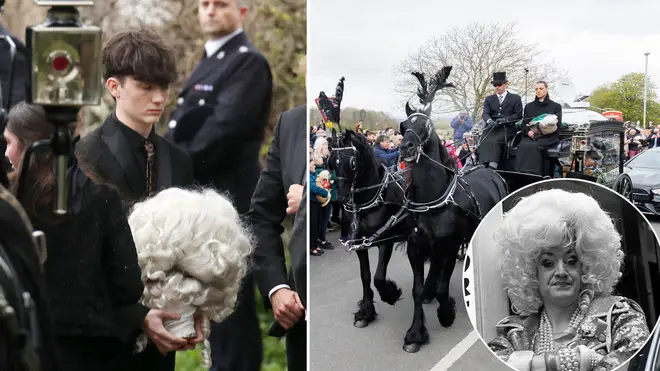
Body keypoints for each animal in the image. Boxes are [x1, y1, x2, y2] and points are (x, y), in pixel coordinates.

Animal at [394, 67, 508, 354]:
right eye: (404, 126)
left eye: (426, 125)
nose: (405, 148)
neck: (433, 200)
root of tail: (489, 169)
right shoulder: (417, 248)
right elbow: (417, 290)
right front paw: (415, 333)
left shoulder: (448, 244)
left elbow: (441, 285)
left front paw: (446, 312)